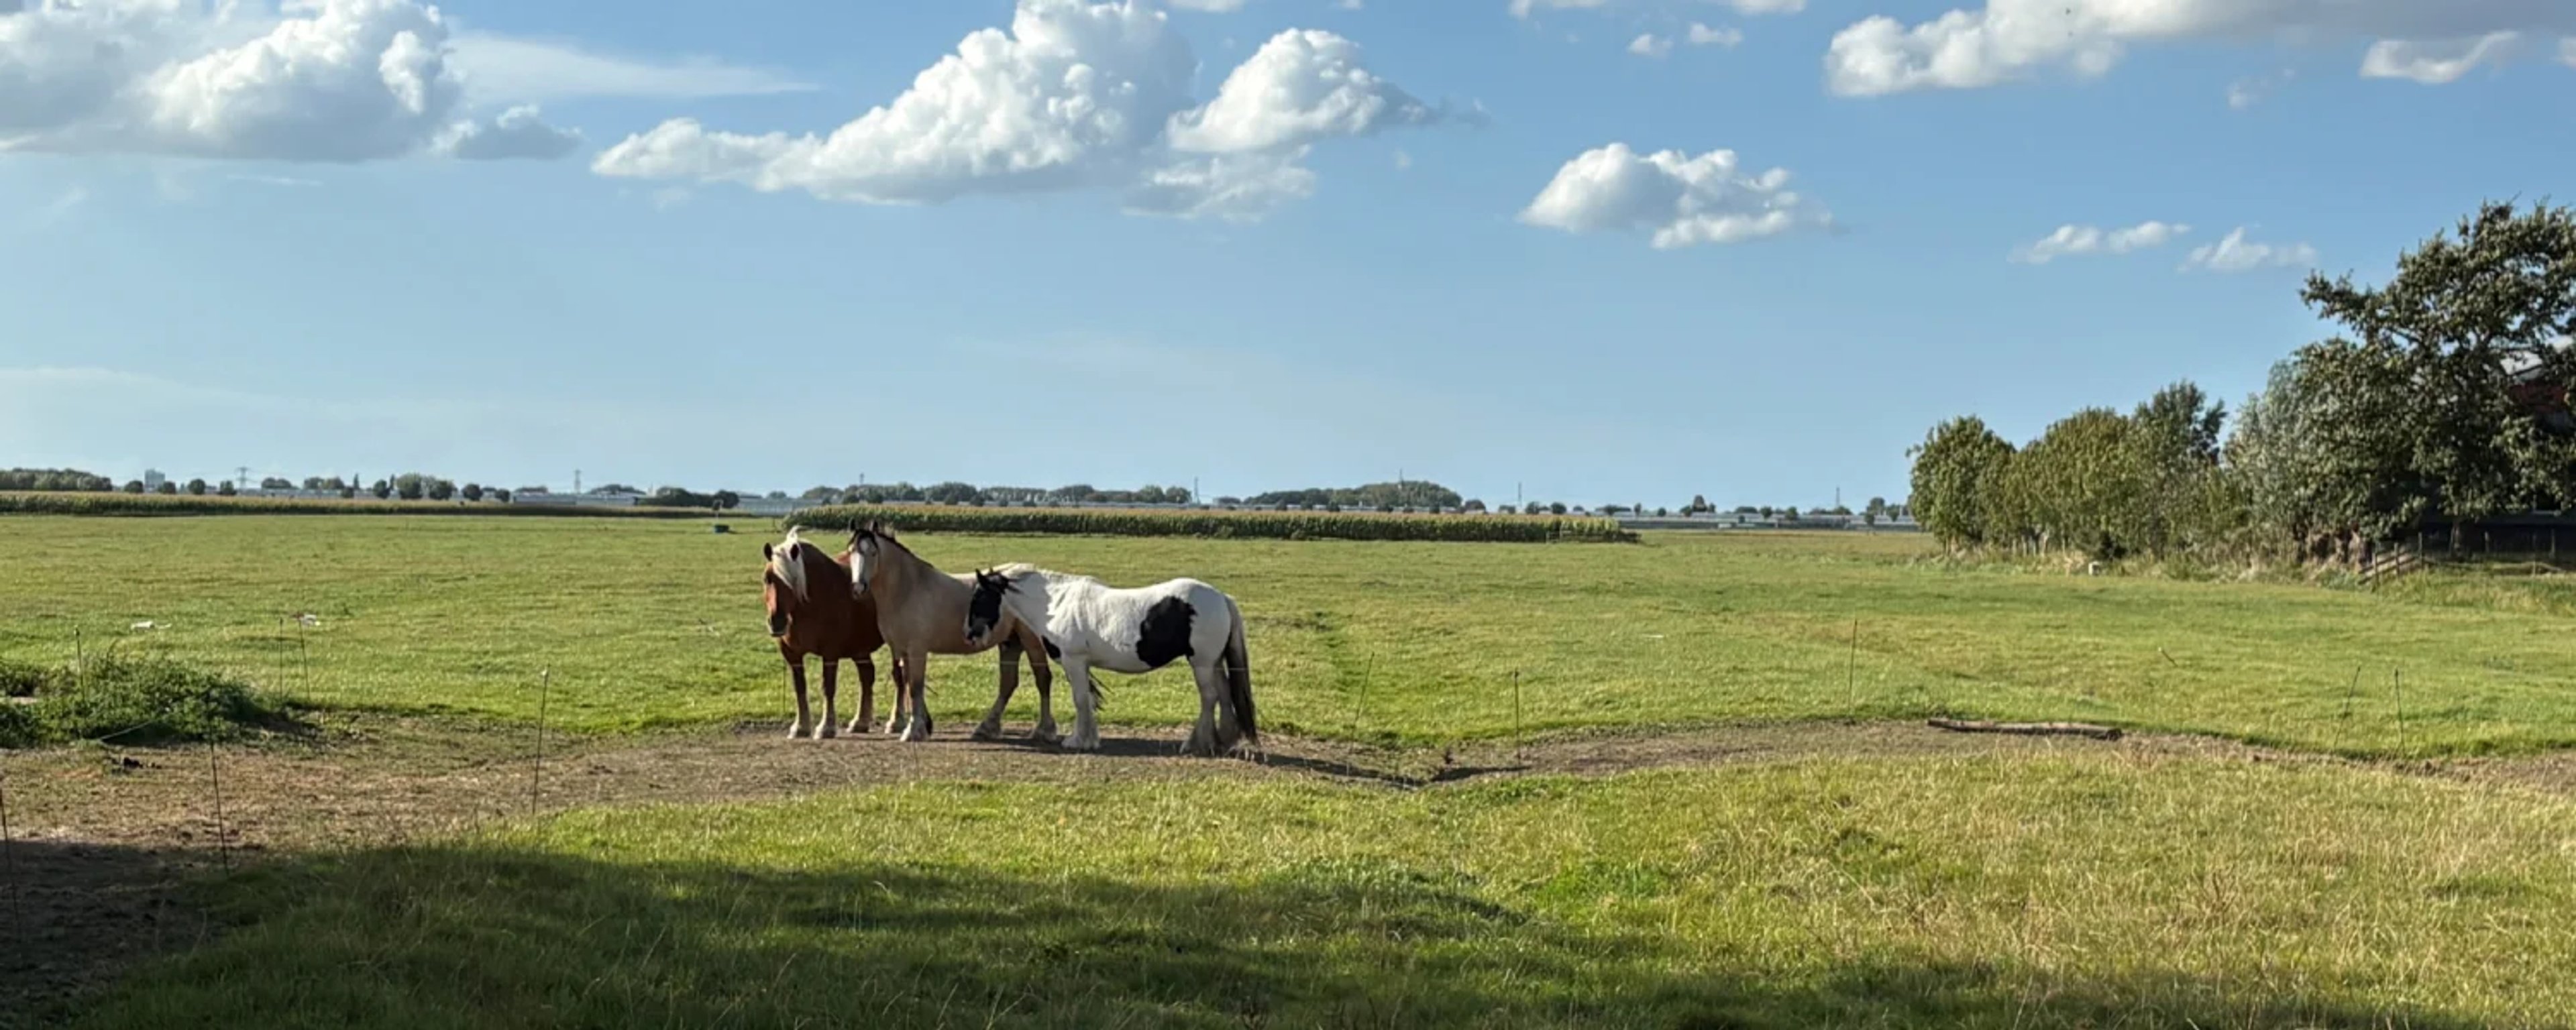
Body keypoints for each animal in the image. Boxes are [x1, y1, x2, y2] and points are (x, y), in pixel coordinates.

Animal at [845, 521, 1059, 744]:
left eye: (873, 553)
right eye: (851, 551)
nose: (858, 587)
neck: (908, 589)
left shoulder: (917, 650)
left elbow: (915, 687)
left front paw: (914, 730)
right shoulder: (902, 650)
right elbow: (906, 682)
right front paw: (921, 726)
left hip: (1031, 641)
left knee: (1043, 679)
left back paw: (1044, 730)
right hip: (1011, 642)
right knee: (1008, 683)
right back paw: (986, 727)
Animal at [963, 563, 1257, 757]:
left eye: (980, 596)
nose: (970, 634)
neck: (1055, 604)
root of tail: (1222, 598)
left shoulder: (1074, 661)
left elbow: (1080, 700)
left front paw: (1077, 741)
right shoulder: (1081, 665)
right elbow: (1086, 700)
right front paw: (1090, 739)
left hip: (1202, 663)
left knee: (1210, 697)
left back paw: (1196, 744)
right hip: (1214, 662)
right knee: (1224, 694)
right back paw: (1223, 742)